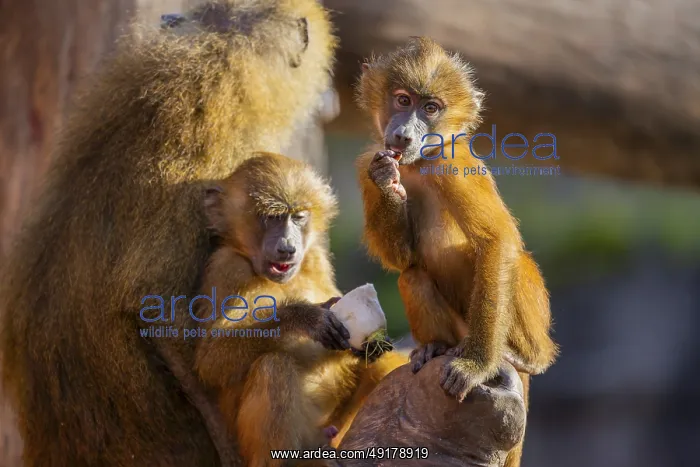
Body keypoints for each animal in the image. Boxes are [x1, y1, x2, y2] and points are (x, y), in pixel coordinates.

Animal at [191, 152, 409, 467]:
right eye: (272, 218)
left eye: (298, 217)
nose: (287, 248)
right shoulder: (228, 267)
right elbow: (212, 359)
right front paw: (306, 318)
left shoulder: (315, 256)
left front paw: (364, 343)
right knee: (274, 367)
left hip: (336, 426)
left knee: (385, 364)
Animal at [354, 37, 559, 467]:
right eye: (403, 100)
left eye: (430, 109)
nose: (403, 135)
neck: (419, 163)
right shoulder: (366, 161)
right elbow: (403, 259)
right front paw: (387, 181)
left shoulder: (454, 162)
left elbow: (497, 241)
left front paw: (475, 368)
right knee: (412, 275)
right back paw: (436, 347)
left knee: (500, 258)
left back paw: (522, 357)